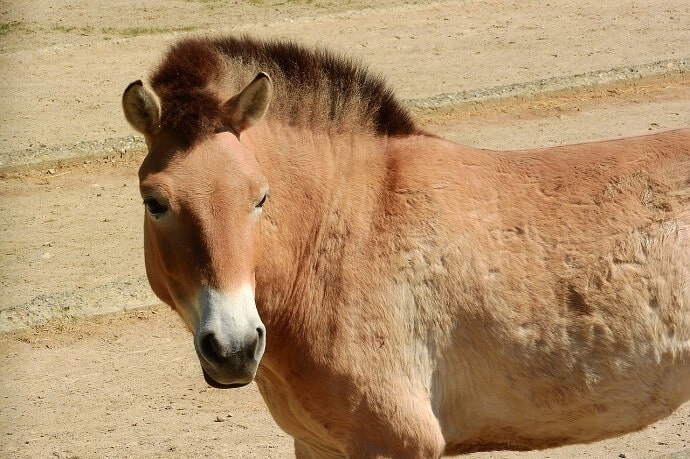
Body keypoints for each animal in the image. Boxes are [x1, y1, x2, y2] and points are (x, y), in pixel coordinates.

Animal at [123, 37, 688, 458]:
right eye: (155, 202)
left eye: (260, 197)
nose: (235, 350)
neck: (340, 239)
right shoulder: (316, 445)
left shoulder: (392, 443)